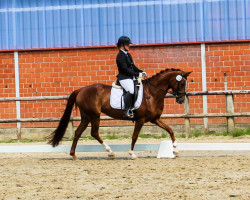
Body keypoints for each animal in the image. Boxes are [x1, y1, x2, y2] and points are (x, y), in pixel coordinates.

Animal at [47, 69, 191, 159]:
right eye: (182, 83)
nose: (181, 100)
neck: (152, 93)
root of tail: (81, 90)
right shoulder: (140, 120)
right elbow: (134, 137)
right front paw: (132, 154)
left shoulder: (154, 119)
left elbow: (170, 130)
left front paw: (175, 149)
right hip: (94, 116)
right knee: (94, 133)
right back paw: (110, 152)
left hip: (86, 116)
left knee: (78, 133)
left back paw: (73, 155)